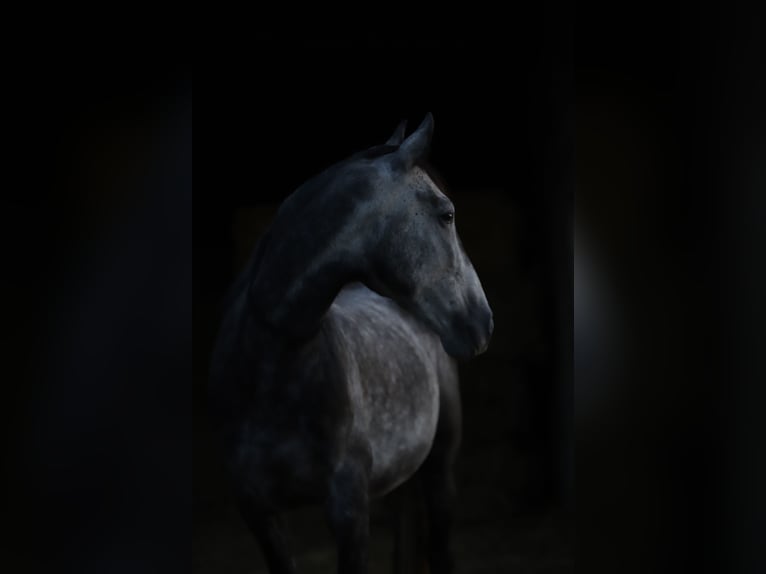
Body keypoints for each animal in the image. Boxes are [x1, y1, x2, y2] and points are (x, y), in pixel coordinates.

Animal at [208, 113, 493, 574]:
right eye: (447, 214)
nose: (483, 321)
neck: (269, 373)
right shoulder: (258, 512)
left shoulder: (349, 511)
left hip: (440, 469)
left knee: (439, 546)